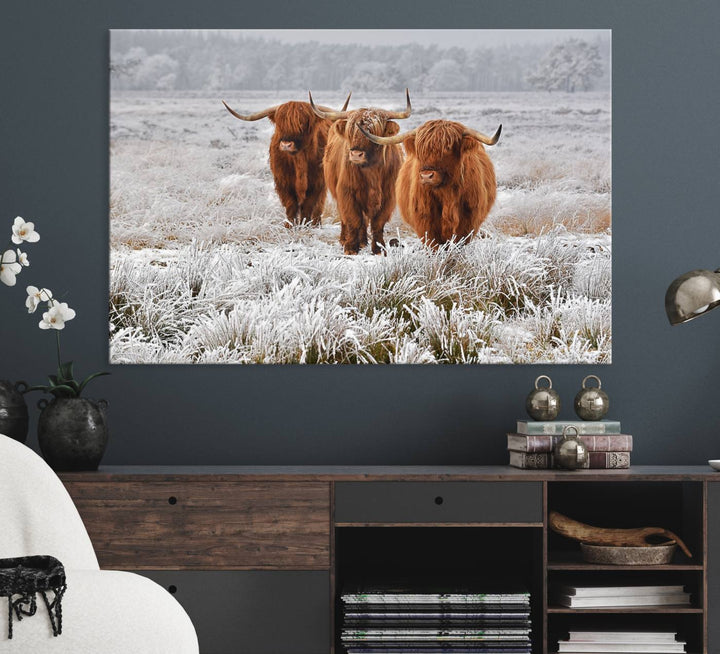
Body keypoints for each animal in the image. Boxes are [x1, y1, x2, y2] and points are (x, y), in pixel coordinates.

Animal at [224, 95, 350, 228]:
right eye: (280, 124)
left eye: (302, 122)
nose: (286, 145)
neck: (299, 161)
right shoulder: (283, 183)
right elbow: (291, 205)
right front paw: (290, 226)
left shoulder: (316, 183)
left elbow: (308, 206)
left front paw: (305, 225)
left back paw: (316, 224)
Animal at [308, 91, 410, 255]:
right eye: (351, 131)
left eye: (373, 132)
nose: (356, 154)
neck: (372, 172)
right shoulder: (347, 193)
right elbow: (353, 219)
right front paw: (350, 247)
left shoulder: (388, 197)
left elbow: (377, 223)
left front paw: (379, 248)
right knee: (347, 218)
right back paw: (346, 240)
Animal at [358, 119, 500, 247]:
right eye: (420, 150)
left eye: (448, 148)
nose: (426, 176)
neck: (446, 195)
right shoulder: (425, 223)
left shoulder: (468, 223)